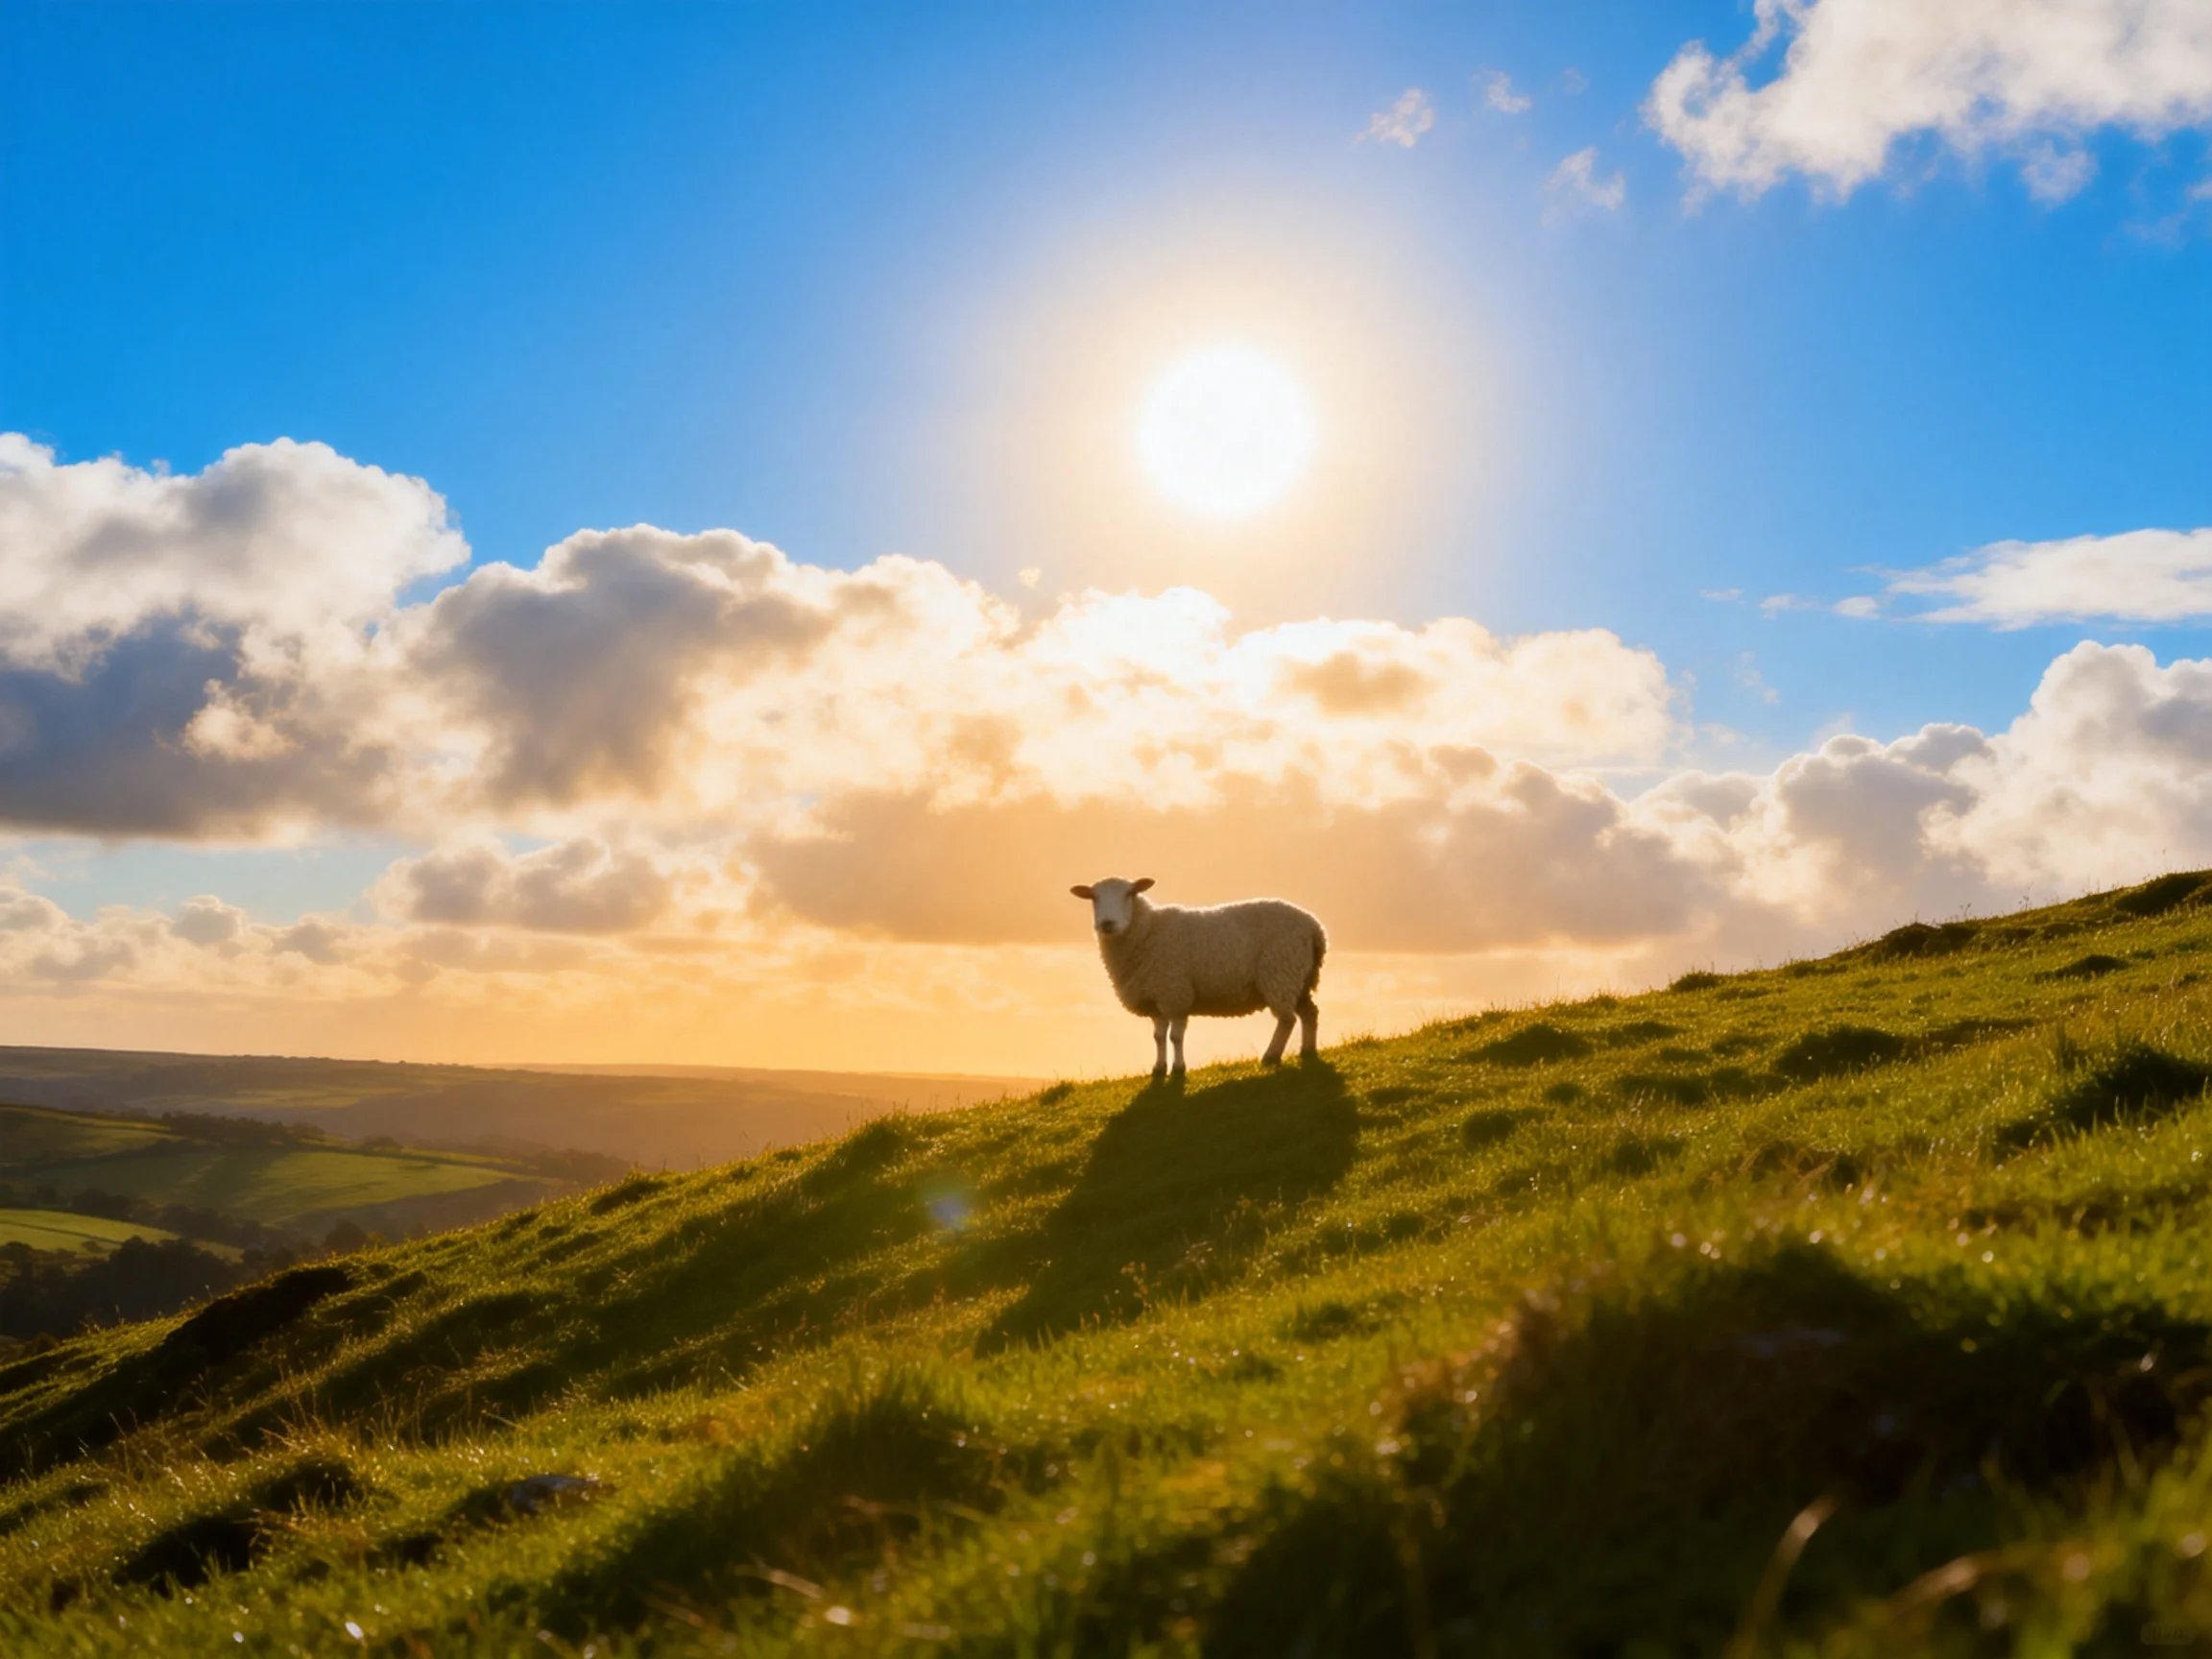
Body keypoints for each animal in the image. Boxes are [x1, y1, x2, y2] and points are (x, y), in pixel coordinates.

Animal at [1070, 876, 1327, 1078]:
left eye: (1130, 893)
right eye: (1093, 897)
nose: (1107, 923)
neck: (1148, 930)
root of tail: (1315, 927)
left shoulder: (1176, 995)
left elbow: (1175, 1037)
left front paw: (1178, 1069)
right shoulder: (1156, 998)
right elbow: (1158, 1037)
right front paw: (1159, 1069)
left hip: (1280, 973)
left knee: (1287, 1020)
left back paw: (1271, 1056)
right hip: (1299, 978)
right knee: (1310, 1013)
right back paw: (1307, 1050)